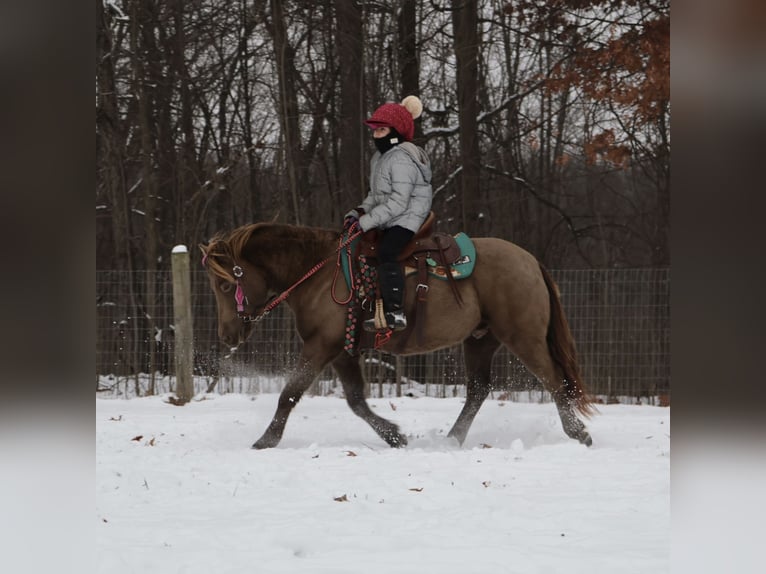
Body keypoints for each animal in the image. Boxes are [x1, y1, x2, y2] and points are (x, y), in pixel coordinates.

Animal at [200, 222, 595, 449]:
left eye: (225, 284)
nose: (228, 336)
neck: (319, 273)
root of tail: (531, 261)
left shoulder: (320, 346)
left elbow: (290, 393)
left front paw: (266, 440)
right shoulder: (342, 351)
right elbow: (356, 401)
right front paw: (394, 435)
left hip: (523, 336)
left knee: (555, 381)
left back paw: (578, 433)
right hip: (481, 339)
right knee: (479, 390)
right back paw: (452, 440)